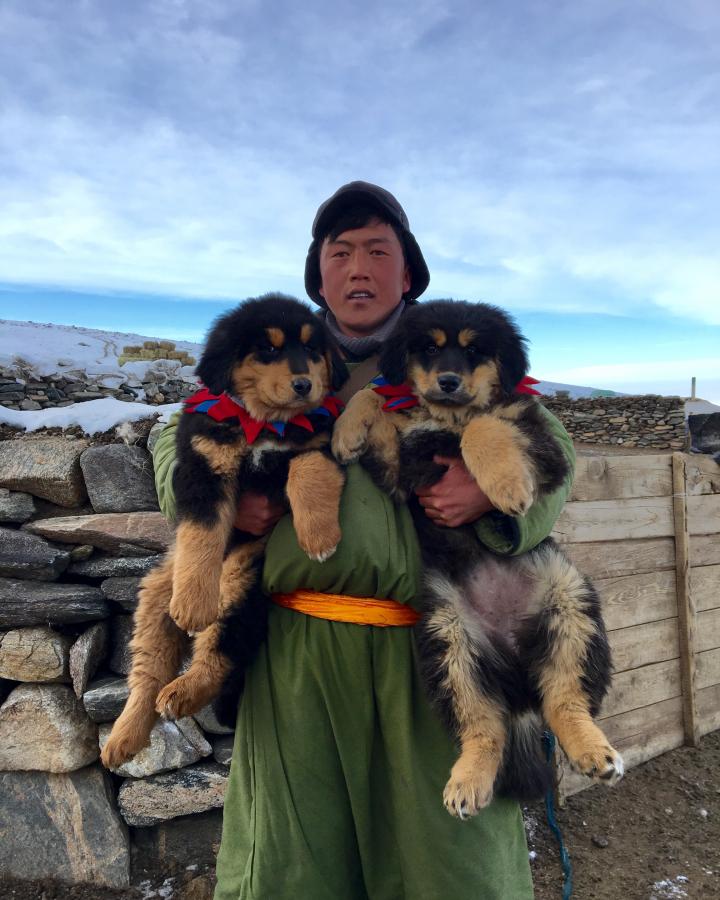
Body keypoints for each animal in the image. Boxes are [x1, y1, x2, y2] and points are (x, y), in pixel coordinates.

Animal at [102, 294, 348, 768]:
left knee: (220, 651)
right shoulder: (204, 467)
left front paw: (319, 538)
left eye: (313, 350)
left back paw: (182, 691)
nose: (305, 385)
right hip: (157, 594)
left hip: (243, 577)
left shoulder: (316, 444)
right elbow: (202, 534)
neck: (264, 423)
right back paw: (124, 736)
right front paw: (194, 605)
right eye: (268, 350)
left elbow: (307, 470)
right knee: (148, 672)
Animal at [334, 300, 620, 816]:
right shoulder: (402, 471)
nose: (448, 381)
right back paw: (467, 783)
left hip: (570, 602)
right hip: (448, 640)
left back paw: (593, 752)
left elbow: (487, 424)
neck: (448, 416)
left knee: (565, 699)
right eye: (428, 348)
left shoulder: (540, 442)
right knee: (484, 726)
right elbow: (378, 401)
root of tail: (515, 665)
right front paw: (347, 430)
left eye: (474, 351)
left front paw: (505, 485)